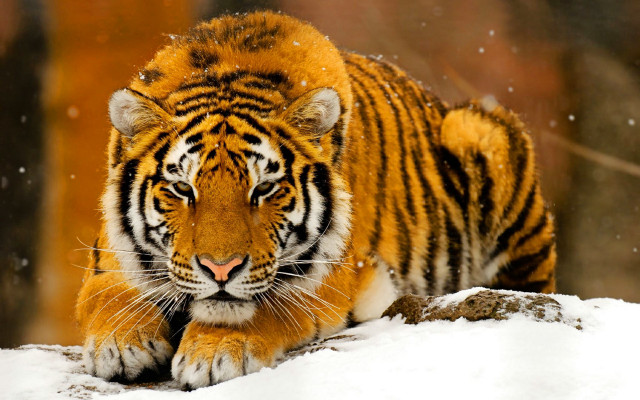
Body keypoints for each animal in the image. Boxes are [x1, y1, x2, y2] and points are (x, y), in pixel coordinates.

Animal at [75, 11, 556, 388]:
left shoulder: (333, 273)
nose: (220, 270)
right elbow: (109, 295)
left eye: (264, 189)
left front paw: (214, 352)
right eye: (183, 189)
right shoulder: (109, 258)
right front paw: (121, 344)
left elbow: (267, 304)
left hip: (480, 133)